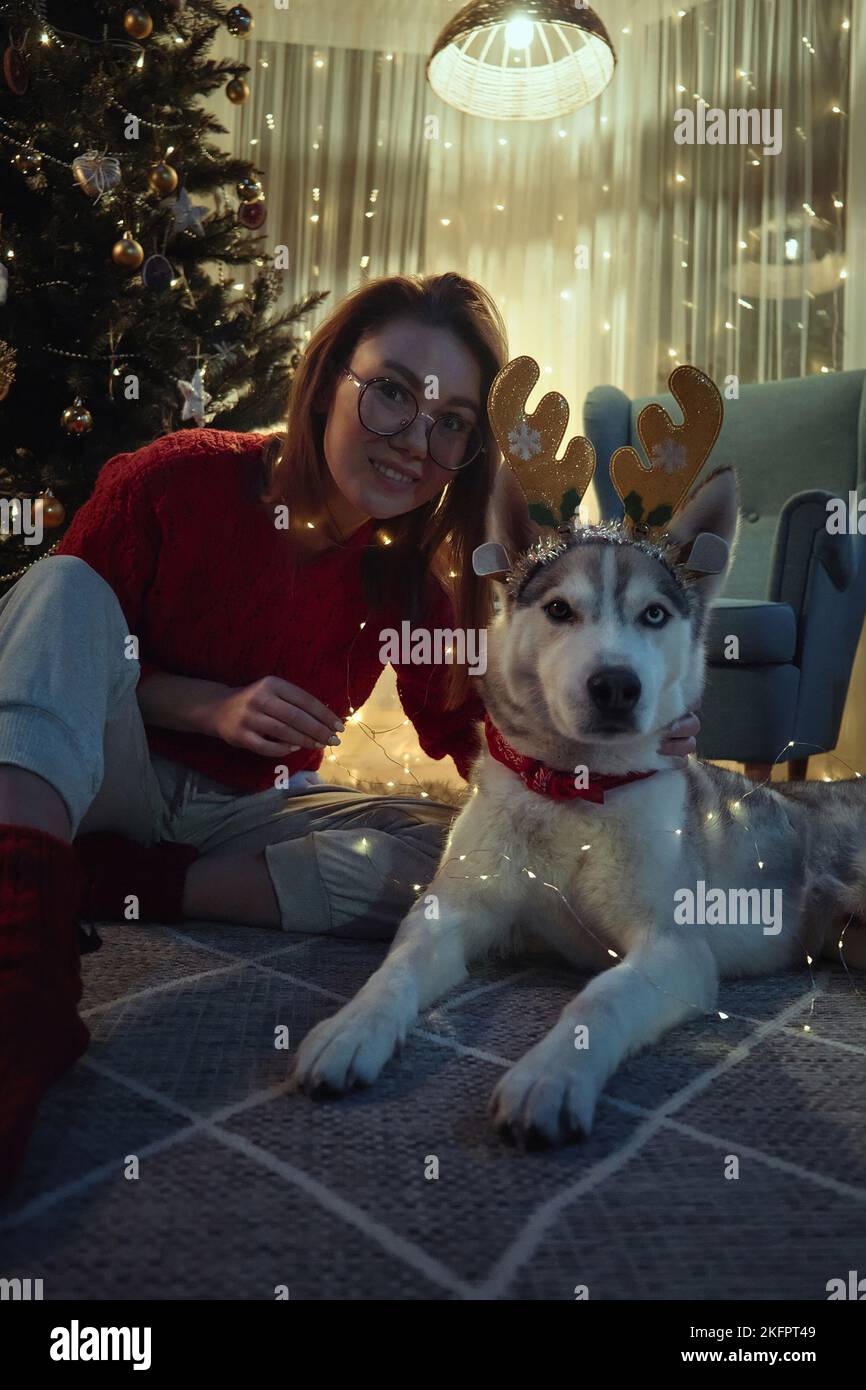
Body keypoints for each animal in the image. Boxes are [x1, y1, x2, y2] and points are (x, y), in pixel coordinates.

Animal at [293, 366, 866, 1139]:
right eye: (560, 609)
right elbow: (396, 969)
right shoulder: (454, 909)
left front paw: (550, 1075)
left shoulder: (673, 950)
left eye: (654, 615)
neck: (573, 793)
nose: (616, 686)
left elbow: (600, 998)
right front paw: (352, 1029)